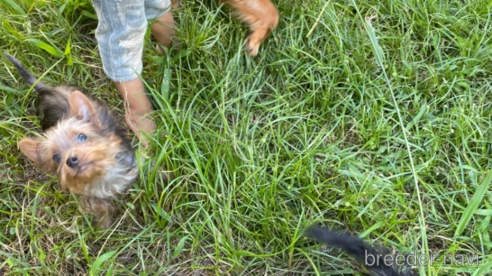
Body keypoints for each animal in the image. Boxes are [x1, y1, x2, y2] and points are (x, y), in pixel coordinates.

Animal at [7, 54, 138, 229]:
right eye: (56, 157)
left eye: (82, 136)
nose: (71, 160)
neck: (100, 174)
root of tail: (46, 90)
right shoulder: (91, 194)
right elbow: (100, 206)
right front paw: (103, 225)